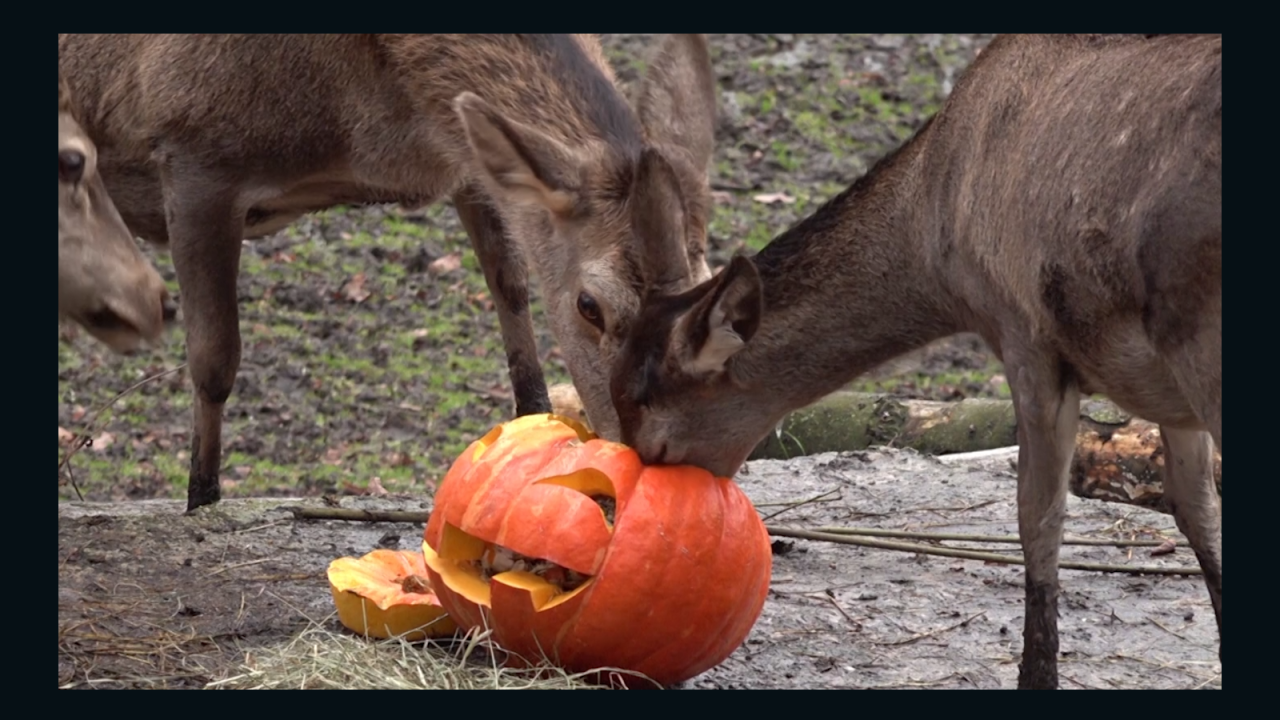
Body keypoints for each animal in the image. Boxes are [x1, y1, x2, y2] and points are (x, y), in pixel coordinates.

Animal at [609, 35, 1218, 691]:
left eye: (658, 443)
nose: (621, 507)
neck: (936, 220)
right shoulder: (1166, 397)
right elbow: (1196, 510)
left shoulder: (1024, 333)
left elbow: (1038, 520)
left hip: (1201, 339)